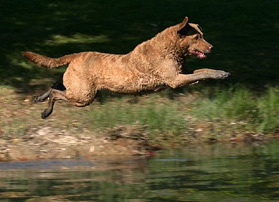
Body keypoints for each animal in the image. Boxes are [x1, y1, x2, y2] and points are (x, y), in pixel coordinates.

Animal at [23, 17, 230, 119]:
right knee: (56, 92)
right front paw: (220, 75)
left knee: (56, 84)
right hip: (84, 95)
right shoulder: (175, 80)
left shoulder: (183, 73)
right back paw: (46, 111)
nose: (212, 47)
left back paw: (39, 98)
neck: (171, 49)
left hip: (78, 87)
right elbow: (203, 73)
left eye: (203, 35)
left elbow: (205, 70)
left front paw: (222, 72)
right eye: (197, 37)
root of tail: (75, 55)